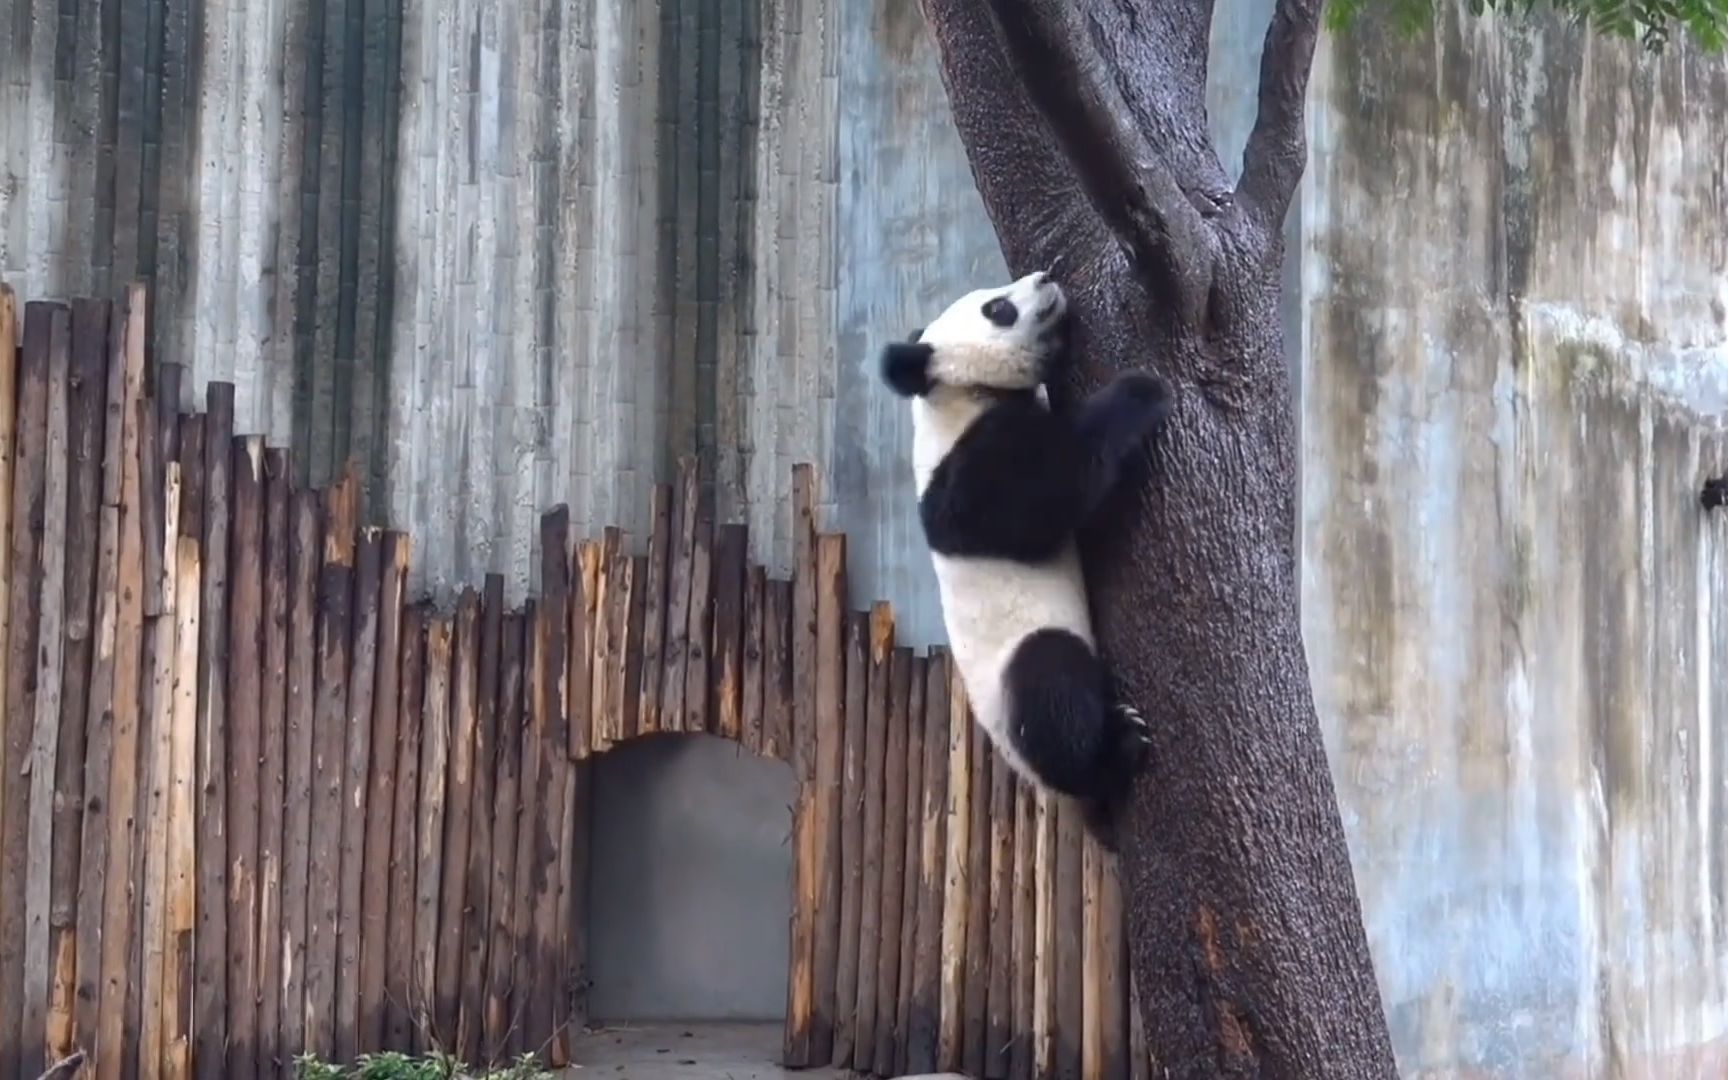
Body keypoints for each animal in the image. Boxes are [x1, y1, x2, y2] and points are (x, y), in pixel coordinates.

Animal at [877, 271, 1175, 843]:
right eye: (997, 308)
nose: (1046, 278)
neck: (956, 392)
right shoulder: (964, 469)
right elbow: (1041, 490)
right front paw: (1142, 390)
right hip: (1014, 684)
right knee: (1050, 688)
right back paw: (1117, 750)